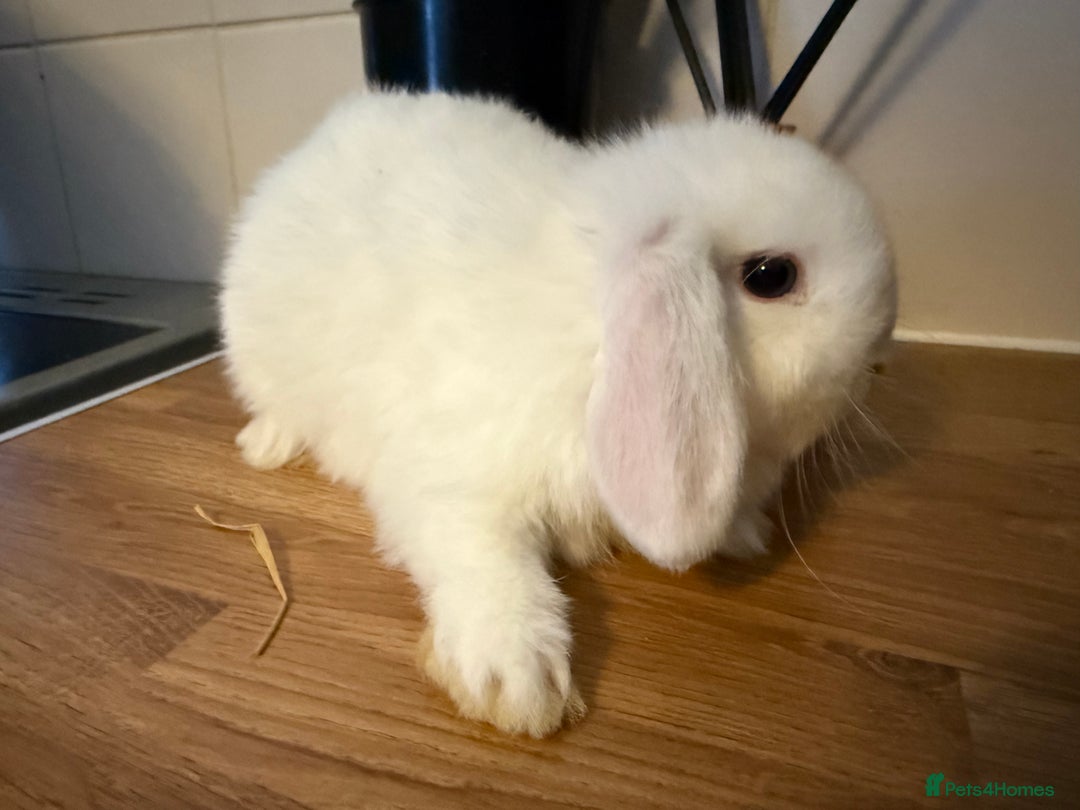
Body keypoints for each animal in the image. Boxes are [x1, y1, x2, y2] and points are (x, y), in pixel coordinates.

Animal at [219, 90, 897, 738]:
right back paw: (266, 444)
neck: (591, 337)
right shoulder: (454, 480)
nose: (879, 347)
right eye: (771, 275)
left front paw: (745, 533)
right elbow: (484, 559)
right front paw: (517, 682)